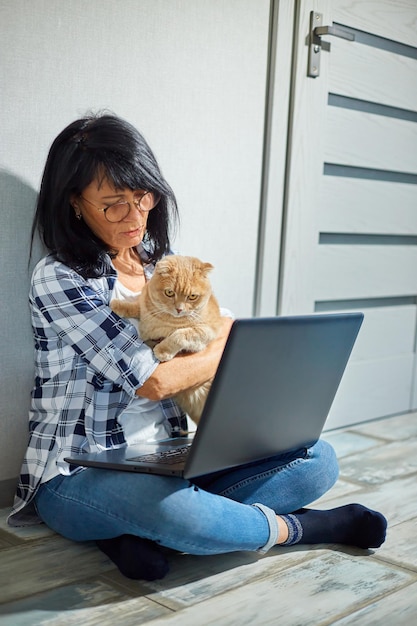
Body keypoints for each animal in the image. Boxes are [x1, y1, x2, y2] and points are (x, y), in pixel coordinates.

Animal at [109, 254, 221, 424]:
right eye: (169, 292)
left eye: (192, 297)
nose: (179, 309)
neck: (164, 320)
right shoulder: (145, 308)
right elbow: (138, 305)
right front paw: (119, 304)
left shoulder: (205, 332)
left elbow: (180, 334)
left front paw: (163, 350)